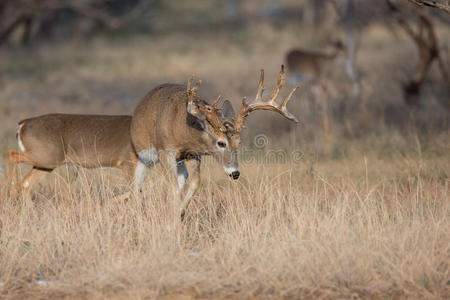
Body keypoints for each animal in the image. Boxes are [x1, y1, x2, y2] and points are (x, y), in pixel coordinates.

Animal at [7, 112, 136, 199]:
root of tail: (22, 125)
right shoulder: (127, 161)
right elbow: (135, 192)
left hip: (46, 163)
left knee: (26, 184)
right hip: (48, 156)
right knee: (12, 154)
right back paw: (10, 192)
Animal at [130, 65, 298, 218]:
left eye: (238, 143)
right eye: (221, 143)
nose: (235, 173)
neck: (183, 131)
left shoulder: (194, 154)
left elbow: (195, 182)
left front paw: (180, 212)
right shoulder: (166, 151)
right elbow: (173, 184)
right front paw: (173, 215)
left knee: (181, 177)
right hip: (143, 154)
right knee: (137, 183)